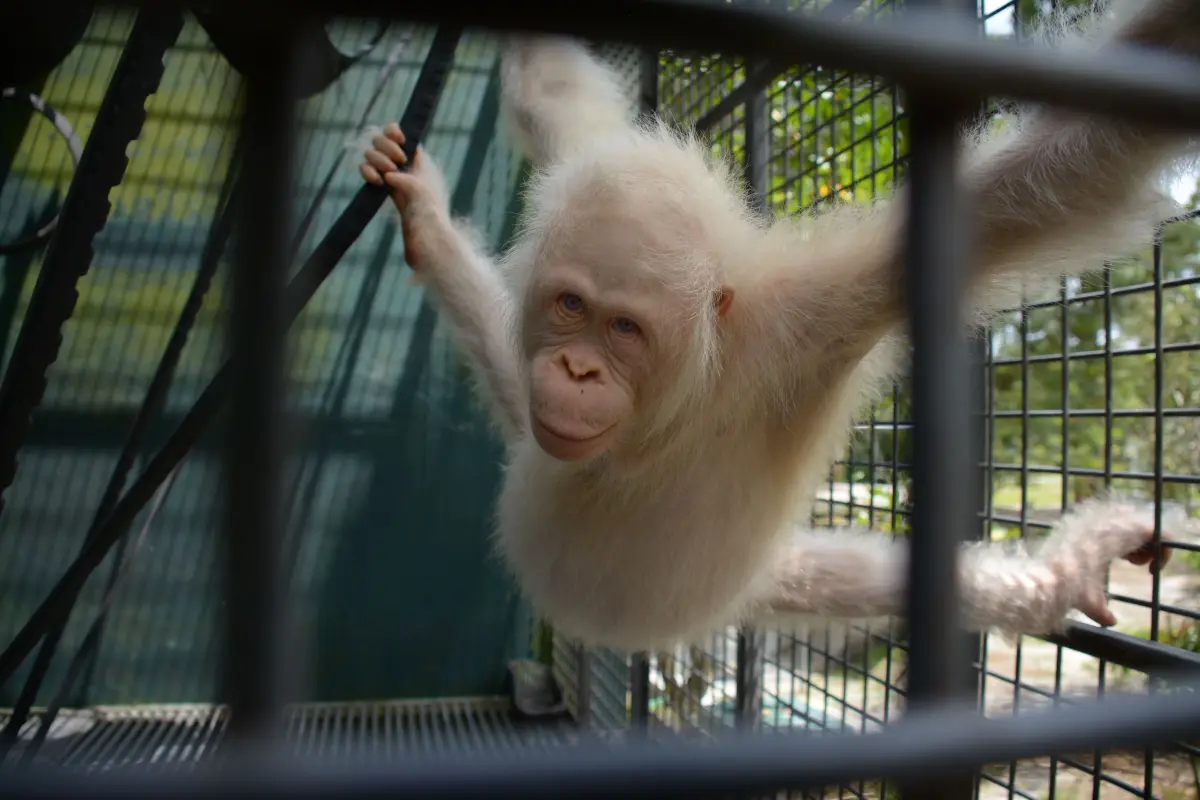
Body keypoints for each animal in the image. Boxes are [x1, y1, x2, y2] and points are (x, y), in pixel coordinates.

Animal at [358, 0, 1200, 654]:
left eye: (624, 329)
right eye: (572, 308)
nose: (577, 371)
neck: (671, 413)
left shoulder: (809, 321)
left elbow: (1057, 173)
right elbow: (550, 97)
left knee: (864, 580)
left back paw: (1056, 576)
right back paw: (431, 232)